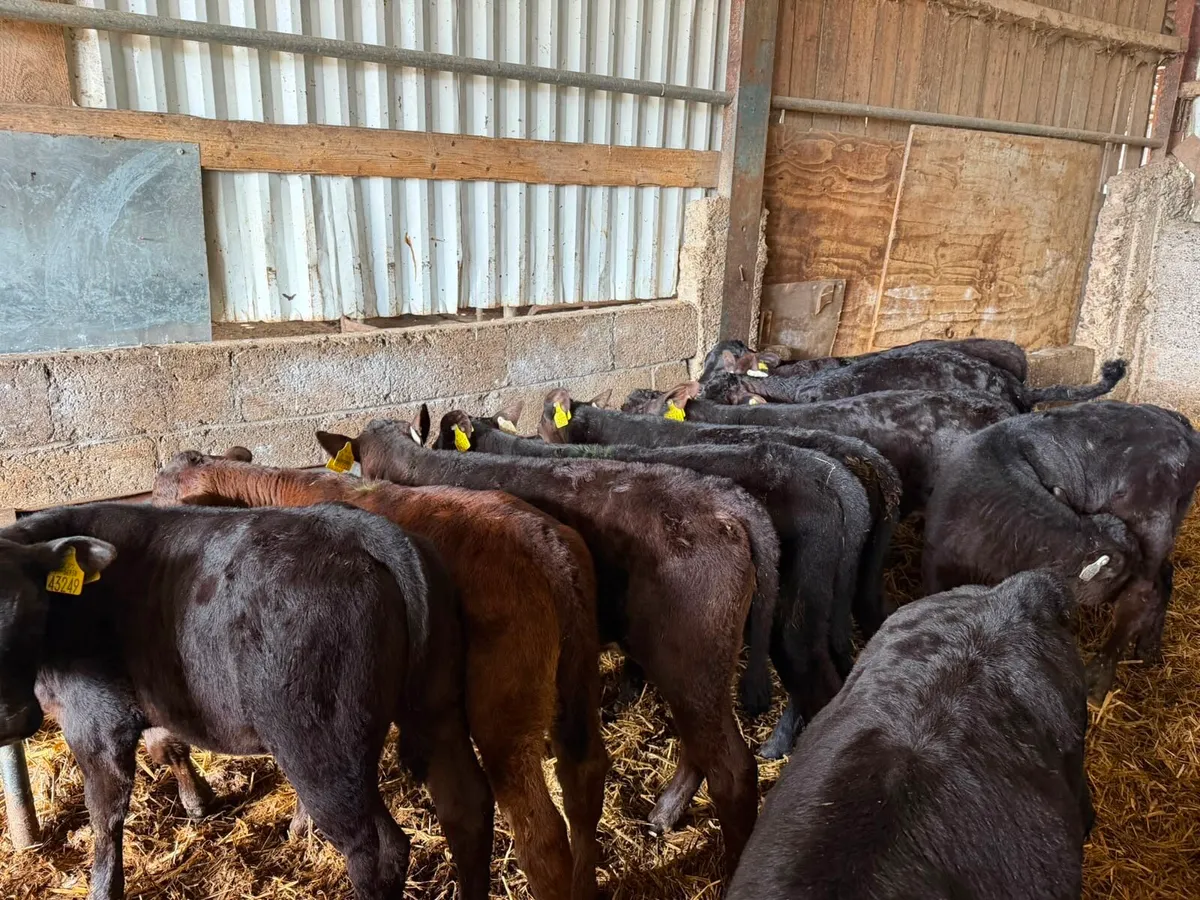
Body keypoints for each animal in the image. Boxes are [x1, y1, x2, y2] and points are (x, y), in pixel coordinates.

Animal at [0, 503, 492, 900]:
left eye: (32, 611)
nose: (12, 720)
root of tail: (359, 527)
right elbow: (169, 746)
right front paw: (198, 802)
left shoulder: (95, 718)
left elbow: (105, 818)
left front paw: (103, 887)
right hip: (437, 707)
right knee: (466, 807)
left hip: (322, 741)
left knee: (377, 850)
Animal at [924, 401, 1200, 698]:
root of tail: (1180, 425)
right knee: (1163, 578)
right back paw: (1148, 647)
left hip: (1151, 525)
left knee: (1141, 596)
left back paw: (1100, 677)